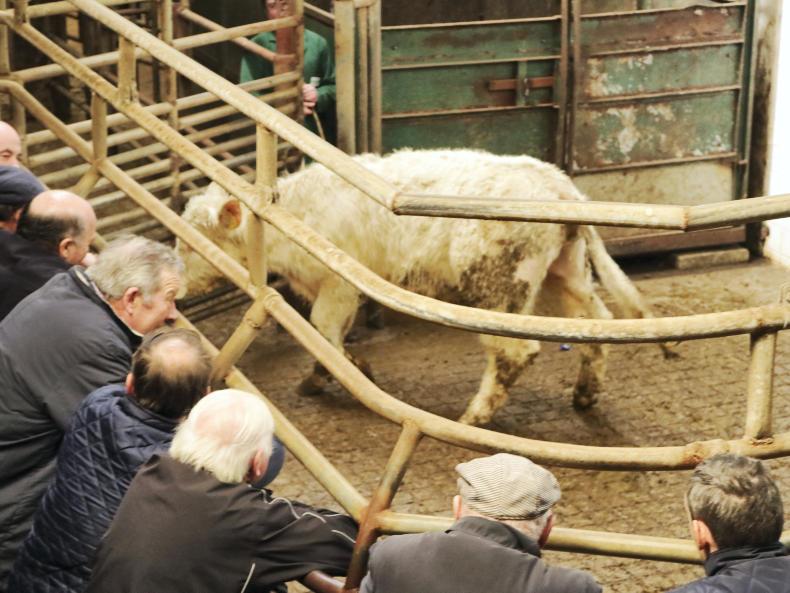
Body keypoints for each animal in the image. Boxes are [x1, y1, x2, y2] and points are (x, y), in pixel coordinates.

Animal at [178, 149, 670, 425]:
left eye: (190, 241)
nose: (177, 290)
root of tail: (560, 184)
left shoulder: (339, 284)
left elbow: (324, 332)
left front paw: (335, 375)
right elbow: (328, 336)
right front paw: (344, 369)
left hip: (498, 286)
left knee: (513, 352)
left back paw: (474, 417)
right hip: (563, 272)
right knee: (594, 324)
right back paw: (585, 394)